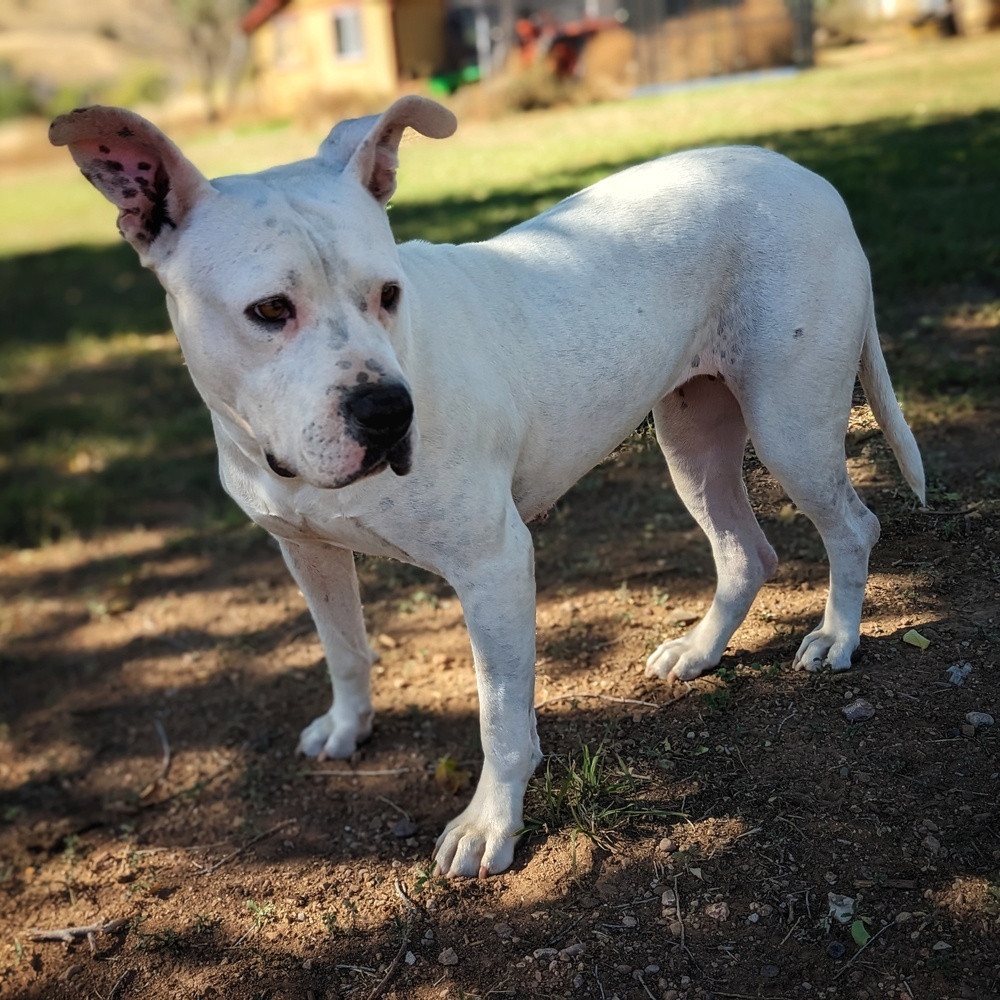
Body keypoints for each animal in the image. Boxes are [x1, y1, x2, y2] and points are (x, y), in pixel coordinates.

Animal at [47, 94, 920, 876]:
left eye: (389, 293)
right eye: (268, 310)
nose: (389, 412)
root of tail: (804, 174)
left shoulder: (494, 565)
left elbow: (499, 714)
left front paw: (489, 826)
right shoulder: (305, 551)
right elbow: (344, 649)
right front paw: (349, 727)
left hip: (789, 423)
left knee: (852, 526)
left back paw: (836, 637)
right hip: (692, 438)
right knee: (745, 552)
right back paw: (702, 651)